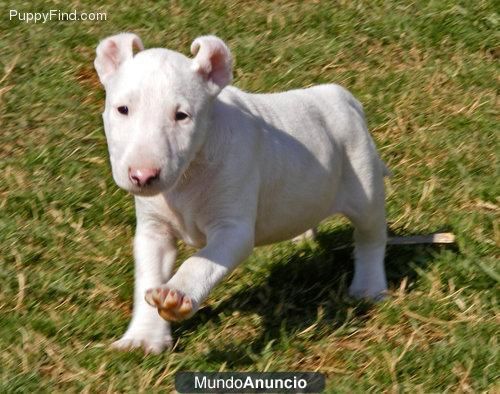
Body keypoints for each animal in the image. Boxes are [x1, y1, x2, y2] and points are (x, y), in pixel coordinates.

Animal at [94, 33, 390, 354]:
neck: (187, 177)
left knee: (370, 238)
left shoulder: (233, 228)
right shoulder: (153, 230)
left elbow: (201, 261)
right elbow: (149, 273)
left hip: (365, 183)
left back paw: (369, 286)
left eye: (182, 116)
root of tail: (343, 97)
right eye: (122, 109)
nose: (143, 176)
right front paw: (144, 338)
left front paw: (177, 294)